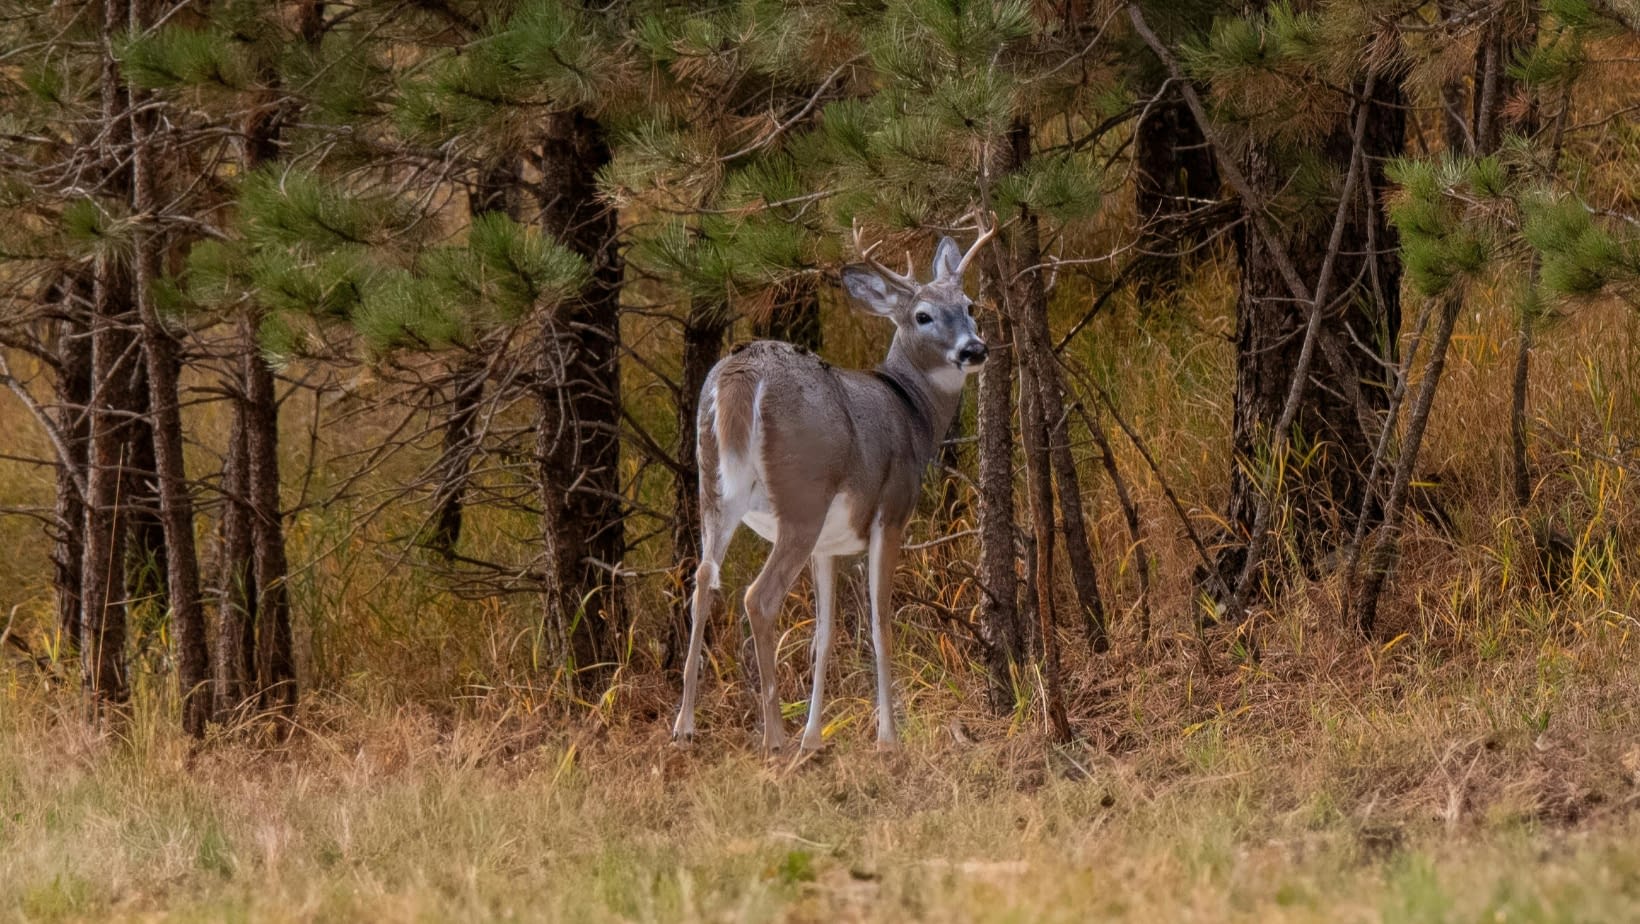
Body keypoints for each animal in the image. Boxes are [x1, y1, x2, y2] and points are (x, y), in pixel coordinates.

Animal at [672, 219, 995, 753]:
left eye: (970, 306)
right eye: (923, 315)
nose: (975, 349)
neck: (914, 415)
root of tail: (741, 376)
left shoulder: (829, 545)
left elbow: (823, 637)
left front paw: (814, 737)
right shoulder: (891, 510)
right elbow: (880, 624)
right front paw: (887, 738)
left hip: (713, 486)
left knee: (702, 580)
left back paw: (685, 726)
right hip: (803, 494)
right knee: (757, 597)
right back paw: (773, 737)